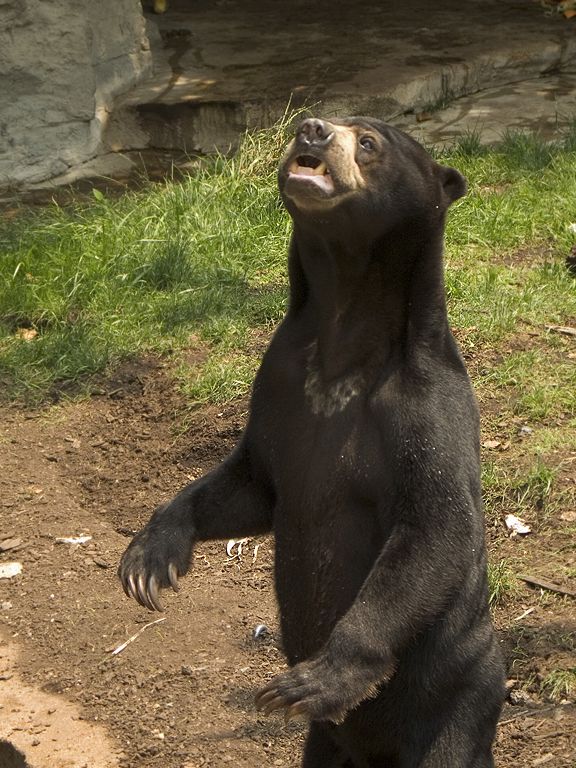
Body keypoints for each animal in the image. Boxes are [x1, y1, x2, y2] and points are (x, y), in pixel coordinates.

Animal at [119, 117, 506, 768]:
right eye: (324, 120)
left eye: (369, 142)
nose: (312, 129)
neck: (341, 340)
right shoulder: (278, 383)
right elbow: (250, 482)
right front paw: (149, 561)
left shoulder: (425, 405)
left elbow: (436, 527)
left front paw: (310, 681)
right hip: (326, 743)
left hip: (460, 695)